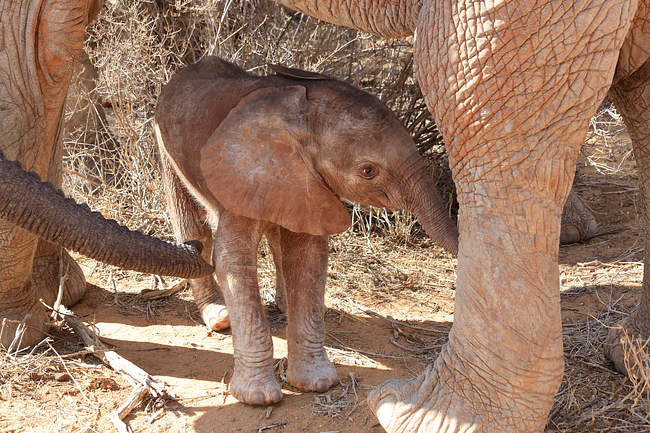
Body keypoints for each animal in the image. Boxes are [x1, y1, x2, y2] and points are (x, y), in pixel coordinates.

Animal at [153, 57, 456, 404]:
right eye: (368, 171)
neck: (297, 119)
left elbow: (308, 256)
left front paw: (316, 382)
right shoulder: (243, 172)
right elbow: (233, 259)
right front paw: (259, 397)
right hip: (164, 143)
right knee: (193, 226)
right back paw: (219, 317)